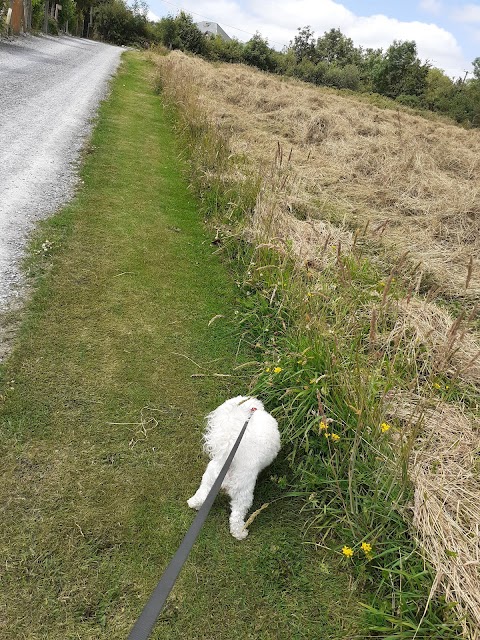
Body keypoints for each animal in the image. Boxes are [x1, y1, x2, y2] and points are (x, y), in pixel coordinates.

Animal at [186, 396, 280, 540]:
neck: (248, 411)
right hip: (242, 492)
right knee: (236, 516)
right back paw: (240, 533)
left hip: (209, 479)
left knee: (201, 494)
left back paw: (194, 504)